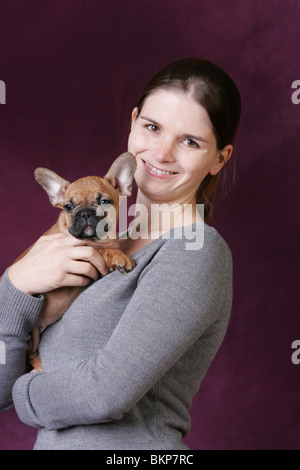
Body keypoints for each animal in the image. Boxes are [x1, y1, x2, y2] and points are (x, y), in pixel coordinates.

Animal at [12, 152, 137, 370]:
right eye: (68, 207)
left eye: (104, 202)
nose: (85, 213)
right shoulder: (78, 253)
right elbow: (102, 250)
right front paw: (119, 257)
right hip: (31, 333)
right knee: (30, 352)